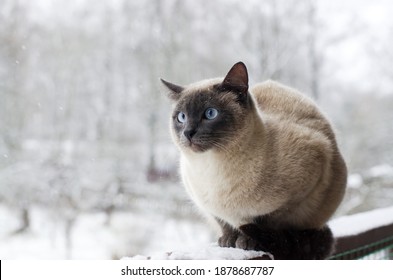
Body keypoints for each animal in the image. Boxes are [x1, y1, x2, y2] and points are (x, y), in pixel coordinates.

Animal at [160, 62, 346, 260]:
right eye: (181, 117)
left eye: (210, 113)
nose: (188, 132)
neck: (212, 168)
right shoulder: (207, 206)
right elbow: (225, 223)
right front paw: (229, 240)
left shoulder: (302, 187)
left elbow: (266, 221)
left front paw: (247, 241)